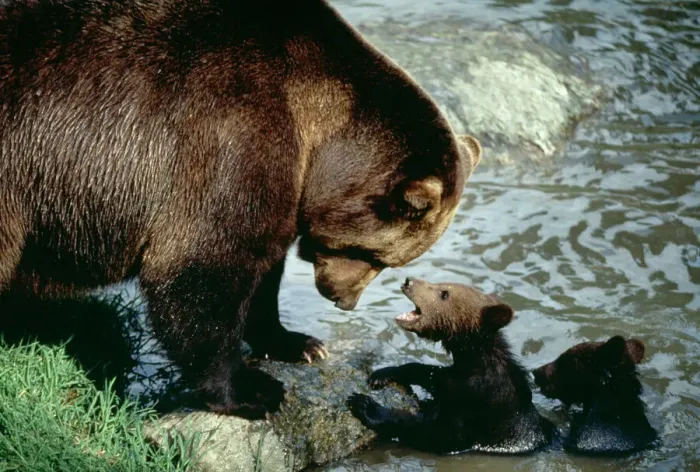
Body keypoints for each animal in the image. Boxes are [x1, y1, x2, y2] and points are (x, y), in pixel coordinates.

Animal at [0, 0, 482, 419]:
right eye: (376, 257)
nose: (343, 301)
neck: (318, 142)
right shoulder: (228, 138)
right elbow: (201, 270)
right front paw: (251, 388)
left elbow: (263, 270)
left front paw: (298, 343)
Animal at [347, 278, 554, 454]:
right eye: (441, 284)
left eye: (444, 293)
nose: (409, 281)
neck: (472, 360)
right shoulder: (456, 379)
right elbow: (432, 375)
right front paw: (382, 373)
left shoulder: (479, 400)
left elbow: (440, 436)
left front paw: (366, 406)